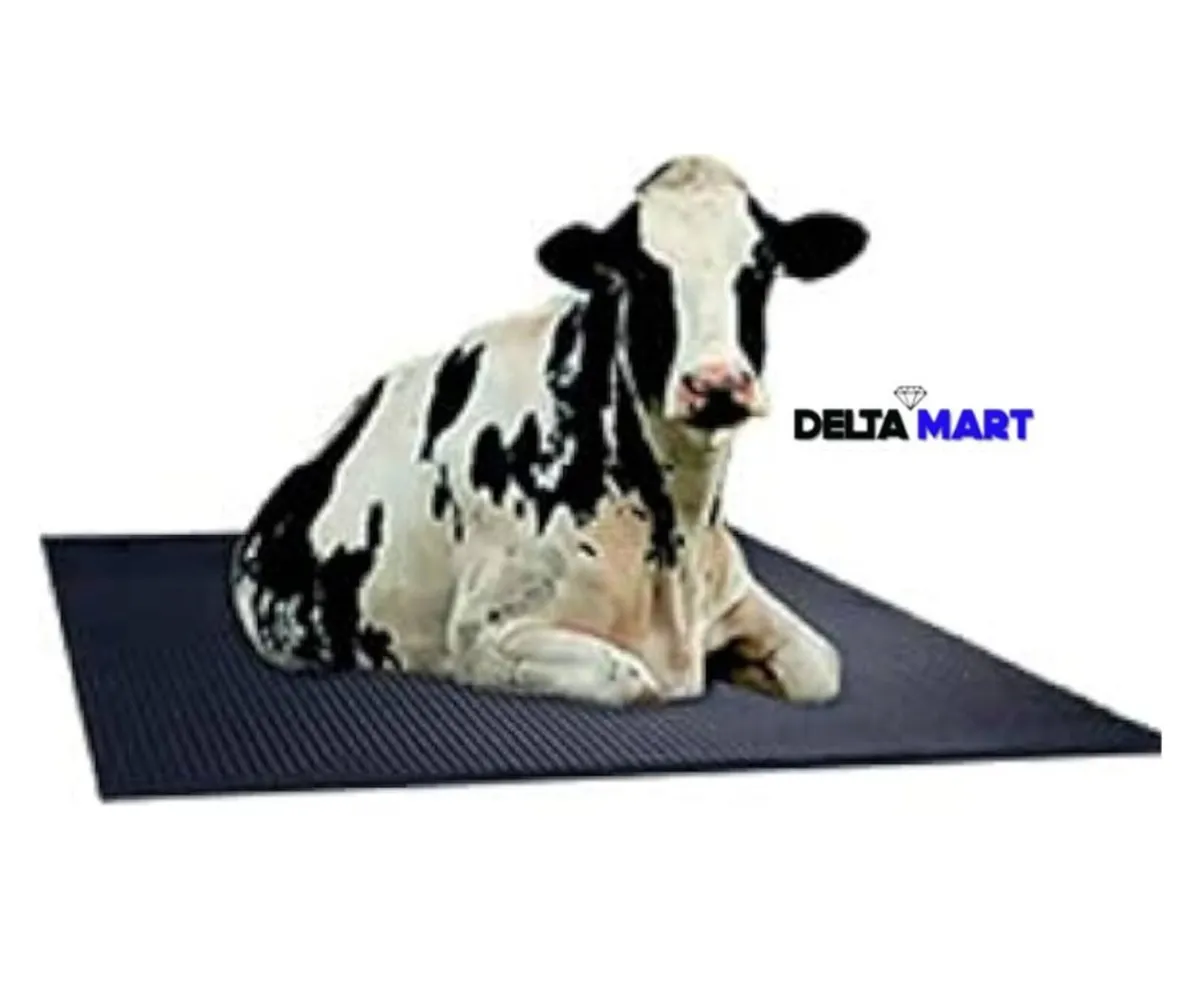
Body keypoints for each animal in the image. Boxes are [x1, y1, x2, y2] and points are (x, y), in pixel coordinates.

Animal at [230, 156, 868, 706]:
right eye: (641, 270)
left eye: (761, 267)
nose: (716, 383)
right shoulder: (485, 636)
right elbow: (634, 681)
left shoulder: (732, 596)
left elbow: (824, 667)